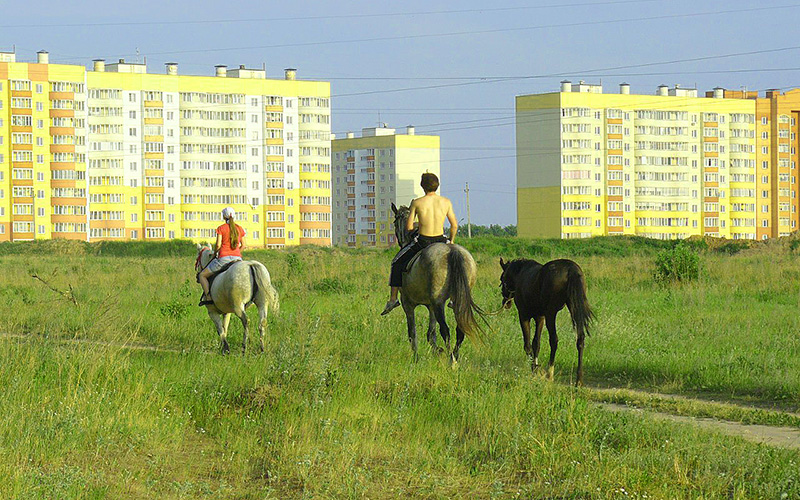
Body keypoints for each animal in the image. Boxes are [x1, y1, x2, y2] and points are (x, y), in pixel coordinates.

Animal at [390, 205, 484, 366]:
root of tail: (452, 251)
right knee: (459, 330)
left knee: (445, 330)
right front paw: (437, 351)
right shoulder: (430, 305)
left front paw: (417, 358)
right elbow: (431, 334)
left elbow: (413, 333)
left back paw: (451, 360)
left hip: (438, 302)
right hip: (455, 301)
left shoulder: (408, 303)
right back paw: (454, 355)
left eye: (395, 222)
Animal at [500, 258, 592, 386]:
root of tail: (571, 270)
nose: (505, 303)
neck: (521, 273)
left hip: (551, 313)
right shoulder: (540, 318)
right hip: (574, 309)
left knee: (554, 340)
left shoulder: (524, 316)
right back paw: (579, 380)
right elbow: (536, 344)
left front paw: (535, 370)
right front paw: (536, 368)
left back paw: (550, 374)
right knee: (580, 339)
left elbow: (528, 345)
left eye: (502, 279)